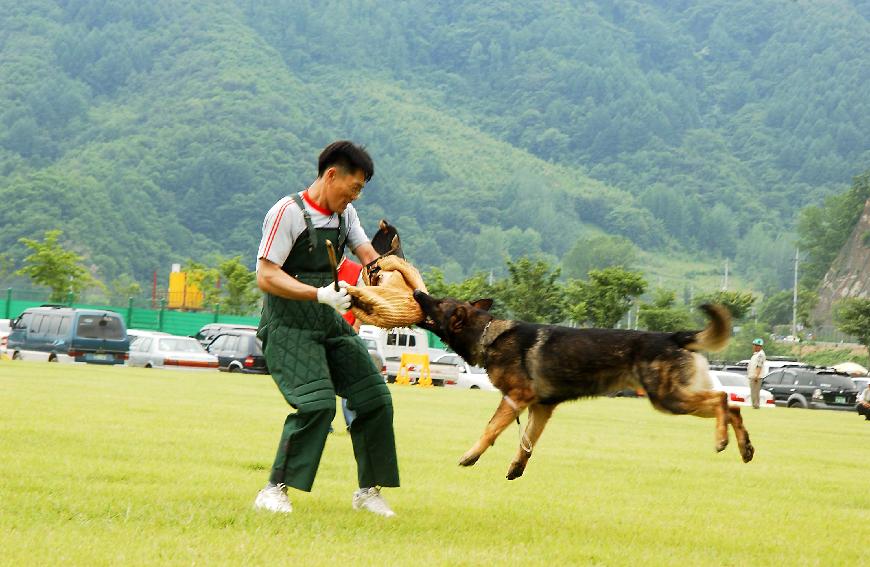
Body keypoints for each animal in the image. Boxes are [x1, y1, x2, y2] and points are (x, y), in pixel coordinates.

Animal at [412, 290, 752, 482]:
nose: (416, 292)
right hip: (674, 397)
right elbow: (527, 443)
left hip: (668, 398)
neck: (486, 333)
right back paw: (745, 447)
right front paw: (516, 469)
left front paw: (470, 456)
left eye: (438, 303)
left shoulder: (515, 398)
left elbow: (490, 430)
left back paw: (722, 440)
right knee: (733, 407)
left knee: (722, 398)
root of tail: (672, 336)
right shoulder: (540, 407)